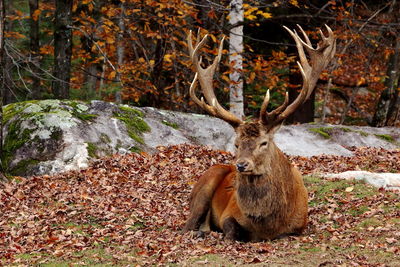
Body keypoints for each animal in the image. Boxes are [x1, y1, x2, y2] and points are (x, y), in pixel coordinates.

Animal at [183, 25, 336, 243]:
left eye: (264, 143)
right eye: (236, 144)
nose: (241, 165)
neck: (267, 224)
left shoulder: (301, 224)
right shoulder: (228, 213)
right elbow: (231, 232)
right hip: (205, 184)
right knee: (186, 226)